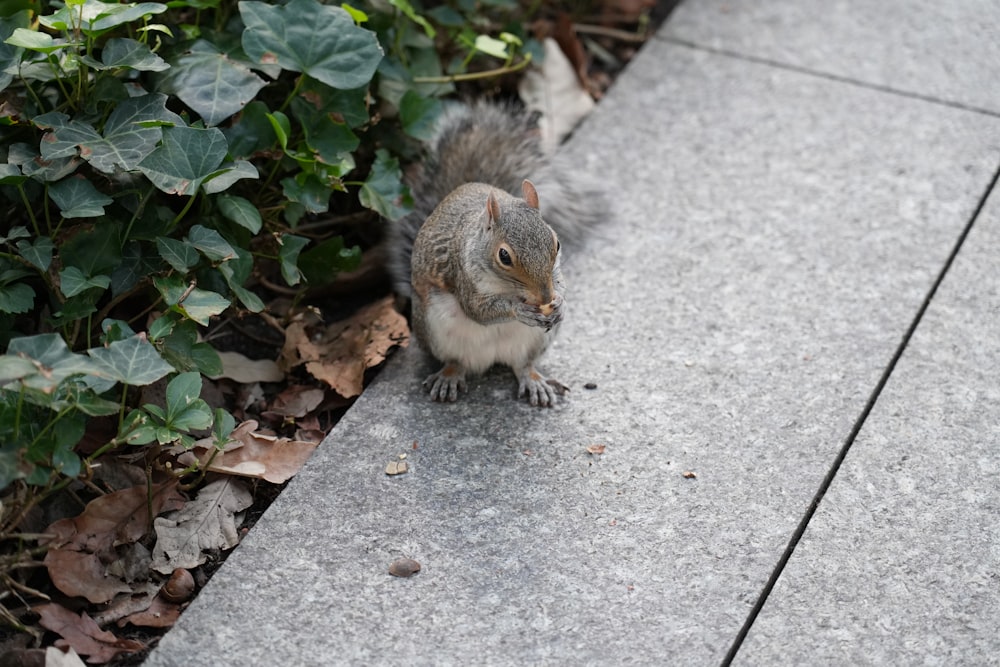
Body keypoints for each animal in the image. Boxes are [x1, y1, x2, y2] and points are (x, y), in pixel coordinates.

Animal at [386, 100, 604, 408]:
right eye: (504, 256)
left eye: (557, 243)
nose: (545, 297)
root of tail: (489, 359)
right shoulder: (463, 275)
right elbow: (477, 309)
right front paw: (518, 309)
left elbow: (562, 285)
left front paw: (560, 303)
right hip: (434, 328)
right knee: (456, 361)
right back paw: (448, 377)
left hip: (536, 340)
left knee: (523, 365)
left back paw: (535, 382)